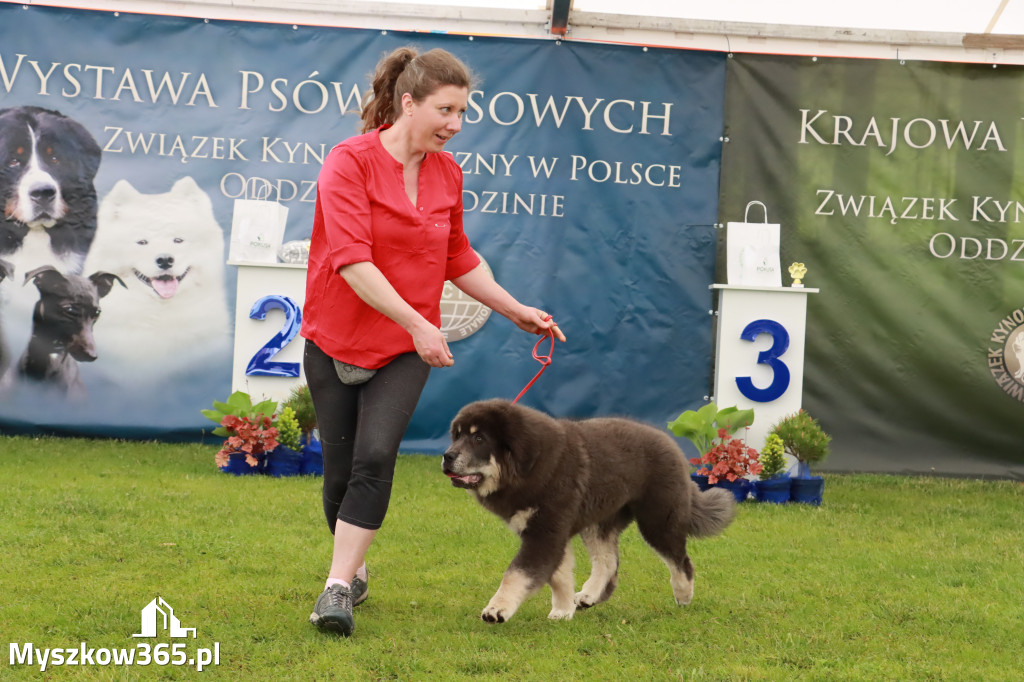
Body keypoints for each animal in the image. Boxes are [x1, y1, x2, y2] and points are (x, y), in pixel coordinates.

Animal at [440, 395, 737, 622]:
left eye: (479, 438)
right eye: (457, 436)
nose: (447, 456)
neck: (528, 468)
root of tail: (670, 442)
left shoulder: (545, 533)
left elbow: (516, 574)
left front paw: (497, 608)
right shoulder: (551, 533)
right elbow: (559, 575)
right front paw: (563, 610)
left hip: (658, 520)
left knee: (680, 561)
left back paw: (683, 595)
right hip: (599, 521)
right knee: (608, 562)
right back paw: (588, 596)